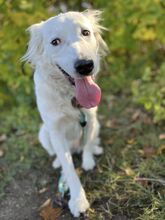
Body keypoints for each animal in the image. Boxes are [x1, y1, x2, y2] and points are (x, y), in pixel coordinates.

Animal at [22, 10, 107, 217]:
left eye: (85, 32)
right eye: (55, 42)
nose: (85, 65)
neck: (71, 97)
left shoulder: (90, 118)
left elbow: (87, 144)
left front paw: (88, 160)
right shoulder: (55, 132)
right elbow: (69, 168)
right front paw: (78, 200)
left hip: (97, 124)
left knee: (89, 142)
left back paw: (94, 150)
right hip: (43, 133)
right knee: (58, 155)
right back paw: (57, 163)